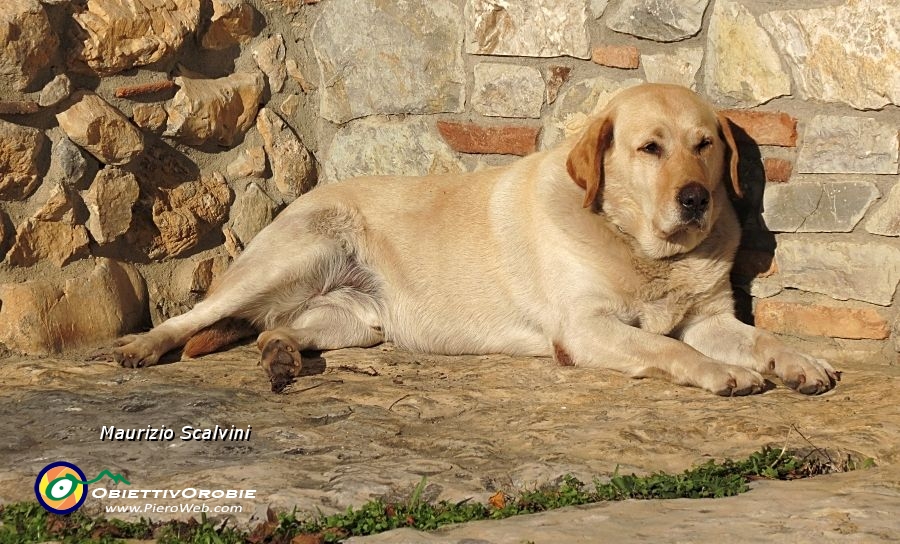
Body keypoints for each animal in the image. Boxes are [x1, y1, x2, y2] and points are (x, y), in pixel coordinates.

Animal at [110, 83, 836, 394]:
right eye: (650, 148)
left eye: (704, 144)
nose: (696, 199)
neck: (637, 244)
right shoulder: (586, 328)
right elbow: (669, 348)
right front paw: (723, 373)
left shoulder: (710, 317)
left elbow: (757, 338)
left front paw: (798, 362)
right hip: (295, 255)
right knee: (197, 314)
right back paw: (141, 347)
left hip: (355, 322)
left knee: (276, 328)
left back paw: (282, 358)